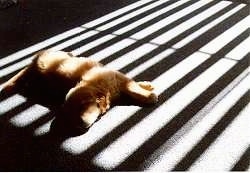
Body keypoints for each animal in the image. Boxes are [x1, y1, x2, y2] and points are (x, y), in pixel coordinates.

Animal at [1, 49, 158, 129]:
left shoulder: (118, 78)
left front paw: (146, 88)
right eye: (71, 113)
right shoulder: (117, 81)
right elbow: (132, 87)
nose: (80, 124)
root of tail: (33, 64)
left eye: (83, 106)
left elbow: (132, 86)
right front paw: (149, 94)